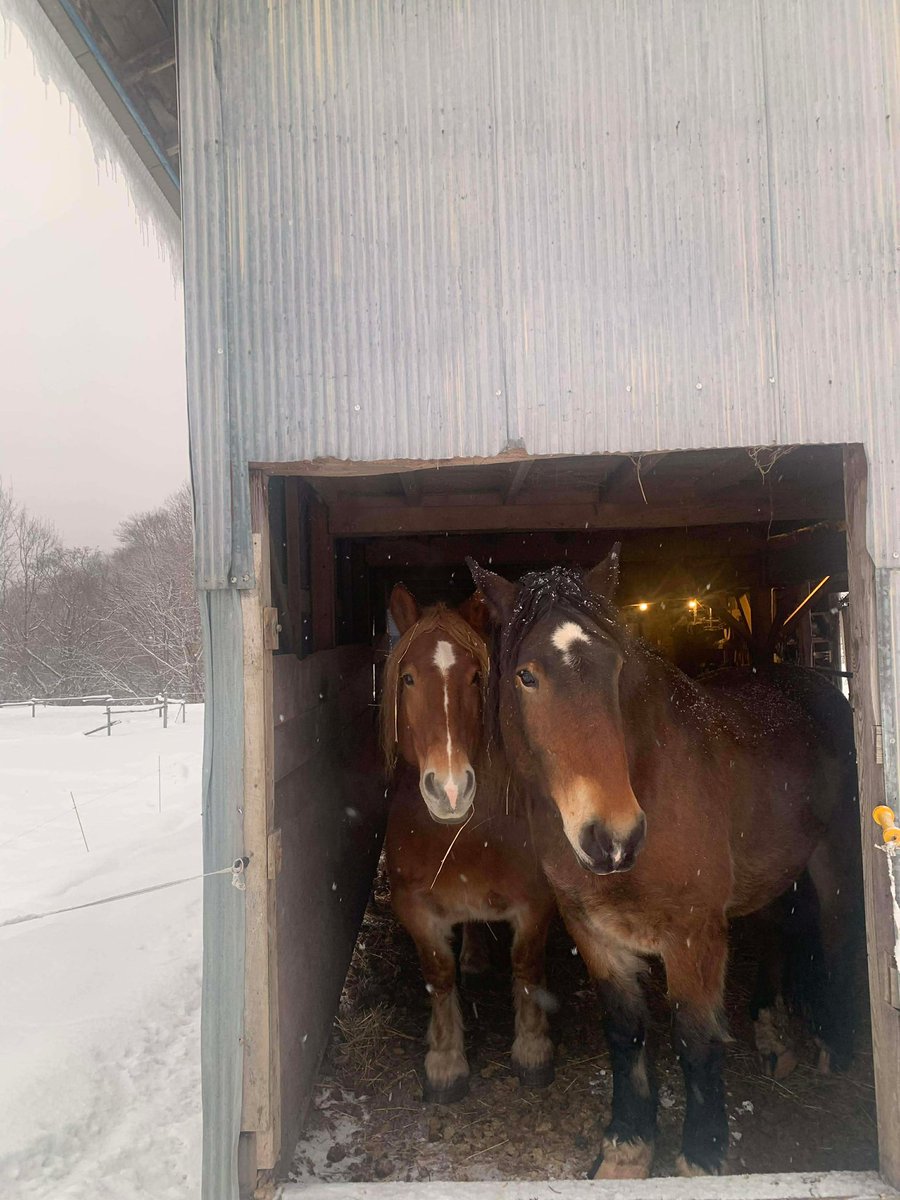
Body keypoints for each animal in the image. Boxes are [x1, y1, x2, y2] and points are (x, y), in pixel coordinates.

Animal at [381, 583, 557, 1103]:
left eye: (477, 677)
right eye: (408, 678)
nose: (451, 789)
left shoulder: (537, 901)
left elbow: (526, 967)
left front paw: (533, 1049)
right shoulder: (412, 906)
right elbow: (438, 974)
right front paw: (445, 1060)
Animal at [468, 547, 862, 1178]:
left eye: (615, 669)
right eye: (527, 675)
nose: (613, 837)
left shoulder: (694, 935)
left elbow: (694, 1038)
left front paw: (701, 1154)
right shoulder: (592, 932)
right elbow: (624, 1031)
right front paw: (626, 1147)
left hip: (836, 855)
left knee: (839, 930)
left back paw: (836, 1045)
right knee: (777, 929)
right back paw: (774, 1037)